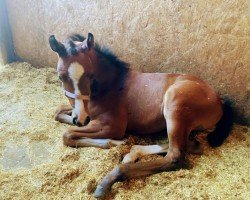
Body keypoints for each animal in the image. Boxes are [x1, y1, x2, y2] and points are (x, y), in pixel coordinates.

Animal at [49, 32, 234, 197]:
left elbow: (67, 135)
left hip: (174, 105)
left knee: (175, 155)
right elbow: (58, 112)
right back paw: (132, 153)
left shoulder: (112, 127)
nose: (81, 119)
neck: (112, 85)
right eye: (61, 76)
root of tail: (219, 100)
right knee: (191, 145)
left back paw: (110, 179)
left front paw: (113, 143)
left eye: (89, 75)